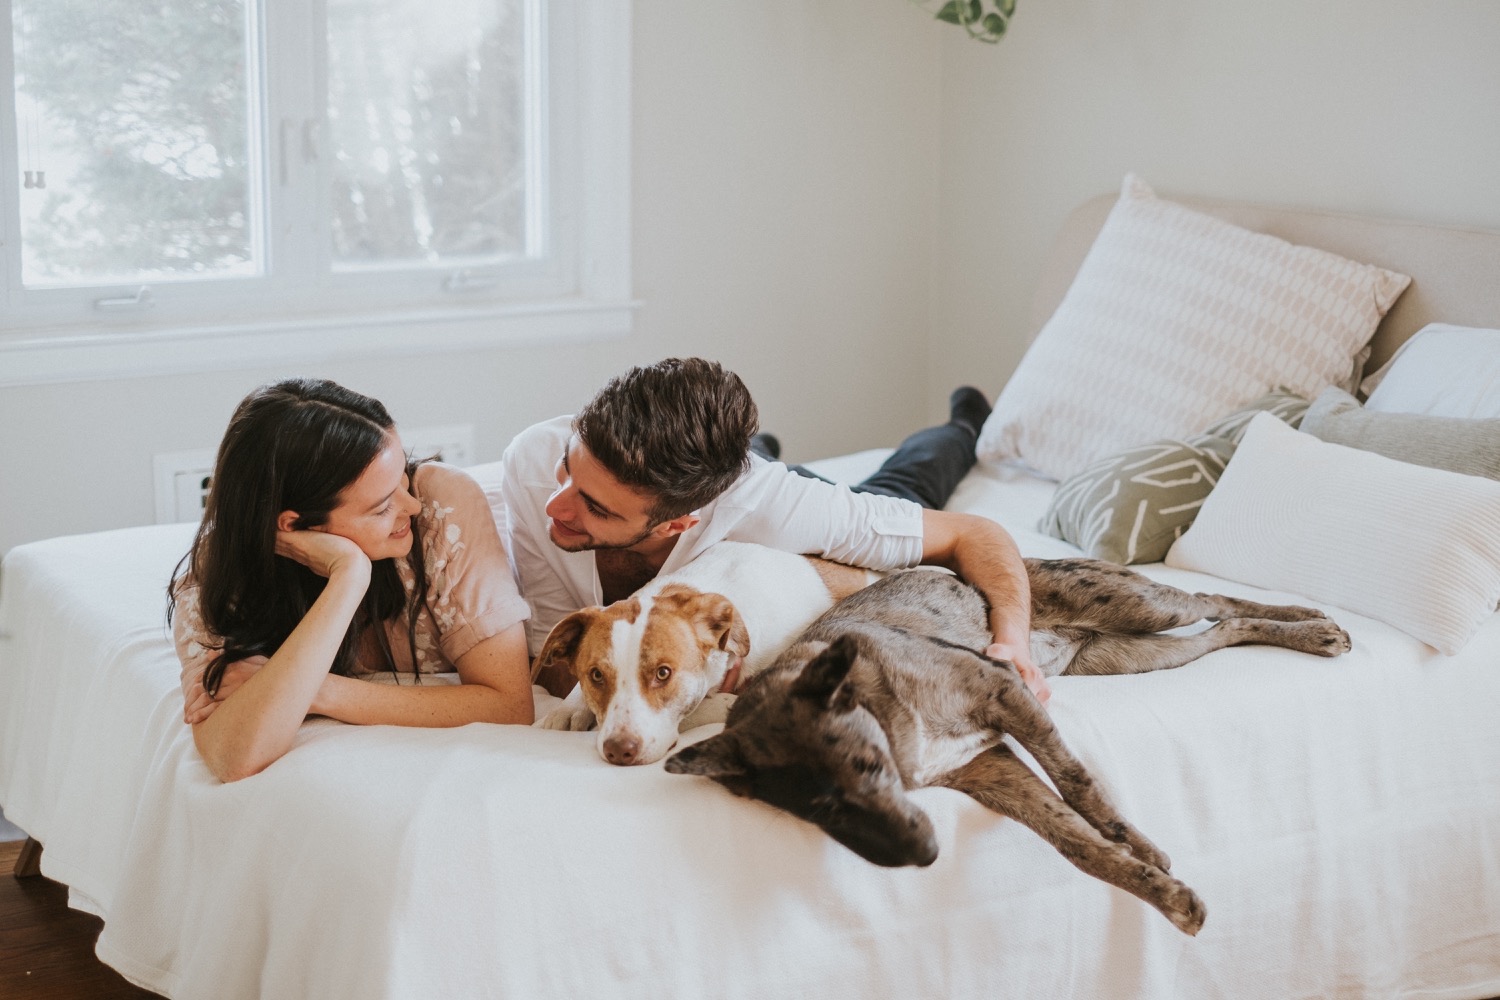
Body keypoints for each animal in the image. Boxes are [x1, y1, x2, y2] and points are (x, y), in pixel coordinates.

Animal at [663, 563, 1356, 941]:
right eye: (819, 814)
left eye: (869, 768)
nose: (925, 856)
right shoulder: (990, 769)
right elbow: (1077, 847)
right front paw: (1161, 892)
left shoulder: (1004, 693)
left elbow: (1077, 781)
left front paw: (1134, 840)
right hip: (1137, 656)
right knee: (1223, 629)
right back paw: (1305, 631)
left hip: (1144, 608)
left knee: (1216, 600)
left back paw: (1313, 621)